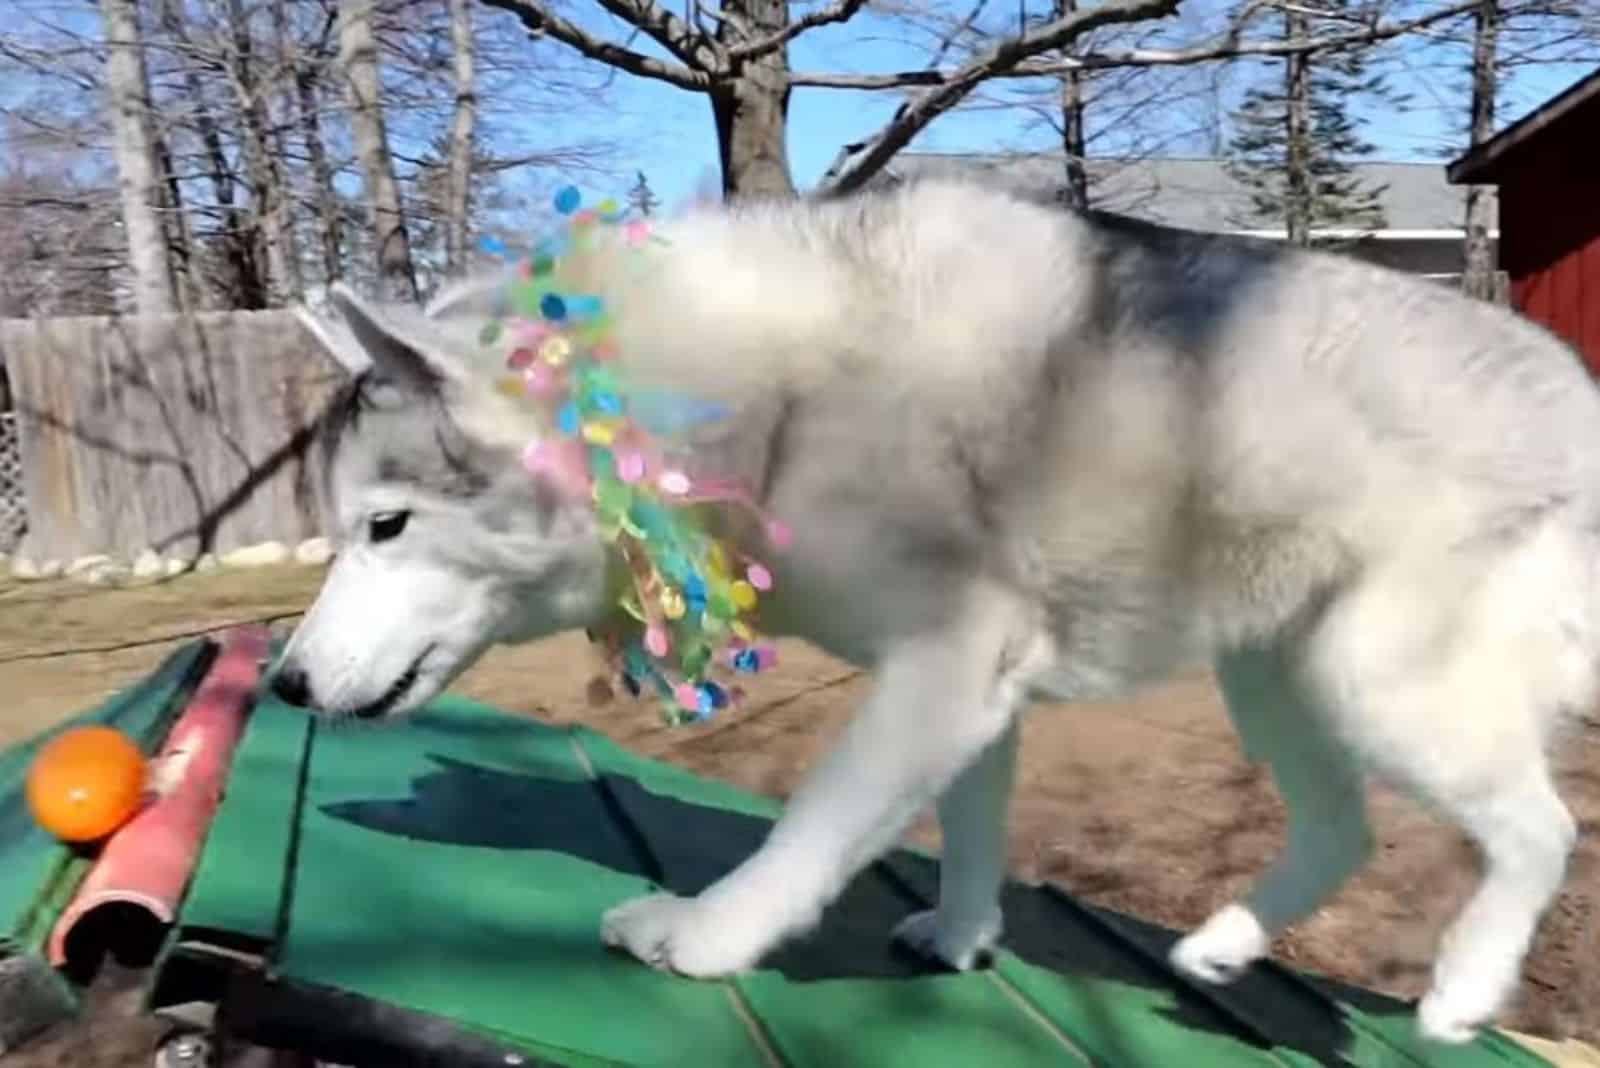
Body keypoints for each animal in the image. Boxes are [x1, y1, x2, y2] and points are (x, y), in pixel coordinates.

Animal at [275, 181, 1600, 1042]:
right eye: (339, 529)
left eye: (384, 527)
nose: (284, 682)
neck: (750, 404)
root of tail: (1578, 393)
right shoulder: (974, 690)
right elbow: (967, 825)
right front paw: (963, 936)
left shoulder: (947, 666)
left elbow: (809, 831)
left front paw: (705, 935)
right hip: (1279, 679)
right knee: (1344, 830)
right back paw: (1223, 943)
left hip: (1380, 685)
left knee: (1539, 829)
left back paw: (1461, 991)